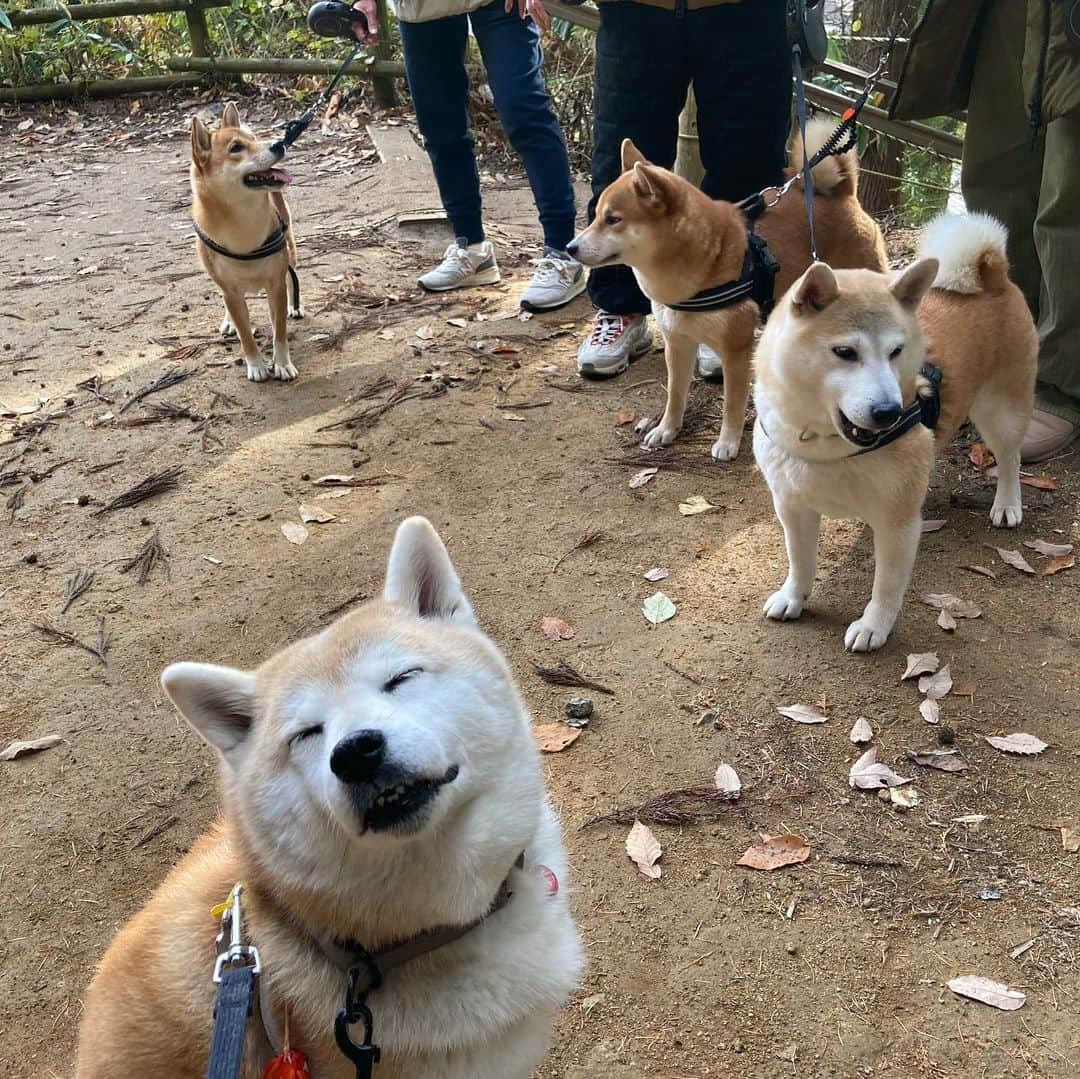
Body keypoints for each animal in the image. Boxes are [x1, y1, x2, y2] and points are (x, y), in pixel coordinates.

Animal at [191, 98, 304, 384]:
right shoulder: (230, 292)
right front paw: (256, 365)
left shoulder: (275, 284)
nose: (278, 144)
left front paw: (282, 363)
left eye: (253, 139)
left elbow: (279, 332)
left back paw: (294, 306)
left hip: (289, 245)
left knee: (292, 276)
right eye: (236, 148)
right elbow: (246, 336)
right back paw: (229, 322)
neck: (243, 224)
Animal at [751, 210, 1036, 648]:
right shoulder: (792, 505)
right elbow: (800, 561)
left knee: (1009, 457)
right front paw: (793, 597)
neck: (828, 447)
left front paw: (874, 626)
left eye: (896, 351)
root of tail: (993, 275)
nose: (888, 411)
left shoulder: (896, 524)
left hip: (1000, 412)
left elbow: (885, 586)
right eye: (845, 352)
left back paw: (1007, 503)